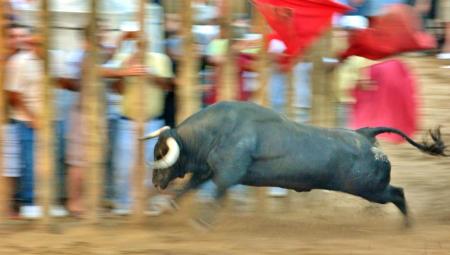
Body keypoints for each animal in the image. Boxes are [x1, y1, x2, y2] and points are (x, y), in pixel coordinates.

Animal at [143, 100, 446, 224]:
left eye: (160, 154)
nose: (155, 183)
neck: (216, 131)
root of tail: (365, 134)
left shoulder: (227, 174)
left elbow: (215, 196)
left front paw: (201, 222)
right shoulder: (207, 171)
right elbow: (188, 188)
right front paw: (165, 208)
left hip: (372, 189)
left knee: (399, 194)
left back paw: (407, 226)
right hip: (371, 189)